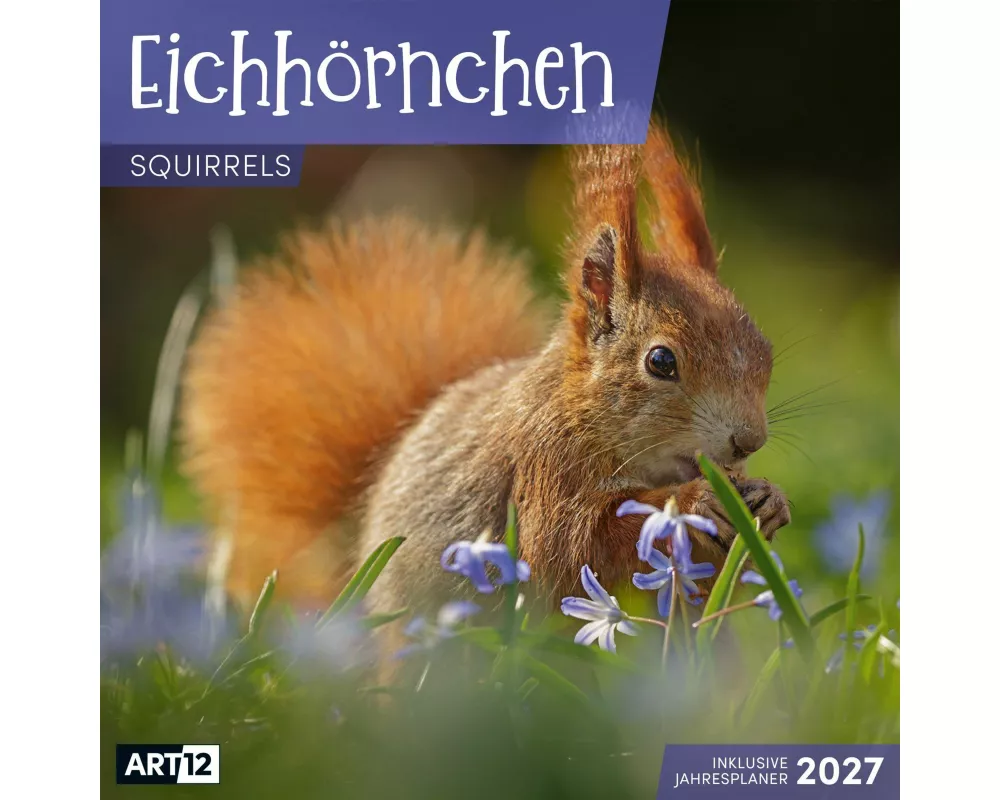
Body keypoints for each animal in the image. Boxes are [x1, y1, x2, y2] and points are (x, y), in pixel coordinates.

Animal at [179, 119, 791, 633]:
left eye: (765, 349)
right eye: (660, 361)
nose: (748, 440)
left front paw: (769, 502)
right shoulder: (544, 467)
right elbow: (567, 550)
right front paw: (692, 504)